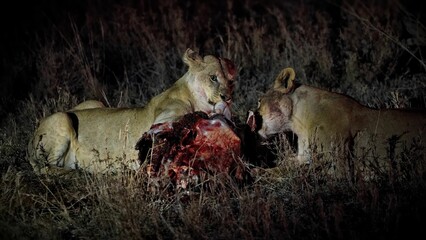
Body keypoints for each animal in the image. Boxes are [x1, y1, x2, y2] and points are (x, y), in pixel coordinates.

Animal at [28, 48, 238, 174]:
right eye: (213, 77)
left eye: (231, 81)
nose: (227, 98)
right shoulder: (161, 120)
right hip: (62, 118)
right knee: (45, 168)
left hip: (94, 102)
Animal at [248, 67, 426, 176]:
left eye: (259, 101)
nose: (249, 113)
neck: (298, 122)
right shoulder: (303, 157)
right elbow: (282, 166)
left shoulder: (339, 168)